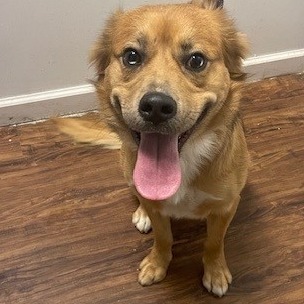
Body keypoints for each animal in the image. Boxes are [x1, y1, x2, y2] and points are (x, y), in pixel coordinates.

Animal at [55, 0, 249, 298]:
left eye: (196, 60)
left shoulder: (226, 207)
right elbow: (163, 237)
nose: (156, 106)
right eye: (132, 56)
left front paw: (215, 271)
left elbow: (214, 243)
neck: (182, 163)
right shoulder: (157, 209)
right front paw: (157, 263)